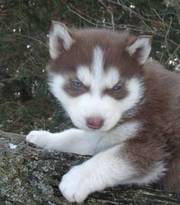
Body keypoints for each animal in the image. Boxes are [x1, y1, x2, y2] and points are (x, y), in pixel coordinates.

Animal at [26, 21, 180, 203]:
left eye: (117, 87)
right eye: (77, 83)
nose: (95, 122)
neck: (141, 99)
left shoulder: (154, 145)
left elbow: (110, 158)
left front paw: (76, 180)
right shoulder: (102, 134)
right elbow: (73, 135)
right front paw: (44, 137)